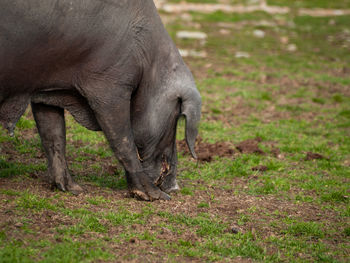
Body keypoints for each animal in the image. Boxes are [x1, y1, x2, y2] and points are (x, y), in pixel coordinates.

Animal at [0, 0, 201, 201]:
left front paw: (75, 189)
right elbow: (123, 141)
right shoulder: (109, 85)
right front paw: (155, 196)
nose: (174, 188)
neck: (148, 61)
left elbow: (54, 135)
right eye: (177, 116)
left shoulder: (46, 91)